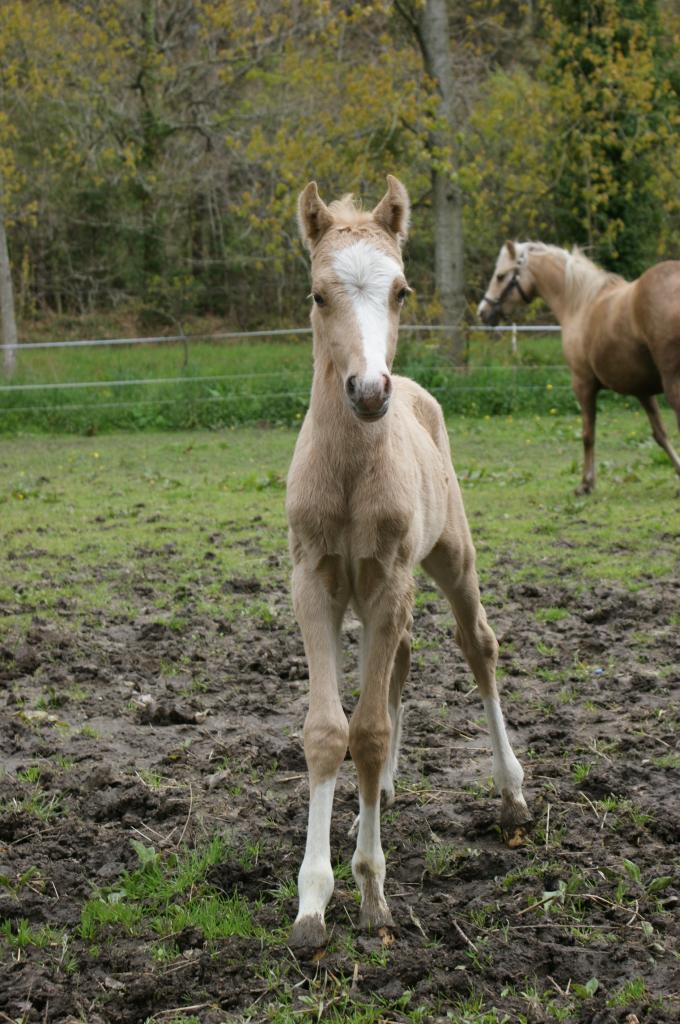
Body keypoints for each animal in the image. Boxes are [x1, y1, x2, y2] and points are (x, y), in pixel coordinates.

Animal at [286, 176, 531, 950]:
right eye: (318, 294)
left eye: (401, 290)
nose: (369, 391)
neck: (350, 476)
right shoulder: (314, 582)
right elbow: (329, 732)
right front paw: (312, 903)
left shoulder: (391, 577)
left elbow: (367, 732)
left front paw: (371, 892)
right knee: (401, 659)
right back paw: (386, 792)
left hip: (451, 558)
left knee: (476, 645)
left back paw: (511, 792)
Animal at [478, 241, 680, 494]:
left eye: (500, 276)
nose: (482, 312)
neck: (580, 303)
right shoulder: (641, 390)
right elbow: (660, 434)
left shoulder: (583, 383)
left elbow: (587, 435)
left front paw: (586, 483)